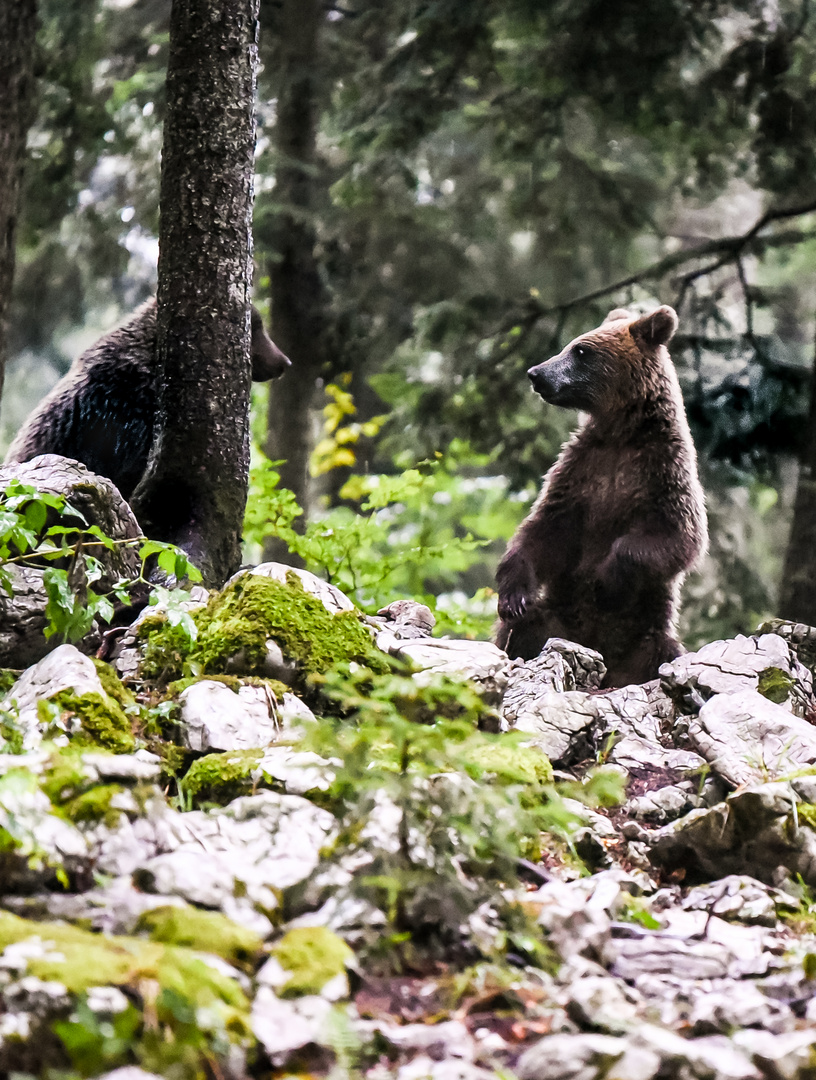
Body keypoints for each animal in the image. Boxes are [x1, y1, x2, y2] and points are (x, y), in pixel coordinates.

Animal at [496, 308, 708, 686]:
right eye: (572, 344)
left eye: (581, 350)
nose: (536, 373)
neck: (621, 432)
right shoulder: (580, 471)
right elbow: (545, 530)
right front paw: (513, 596)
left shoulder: (664, 472)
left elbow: (677, 535)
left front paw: (607, 583)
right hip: (557, 620)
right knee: (525, 629)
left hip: (645, 635)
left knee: (661, 651)